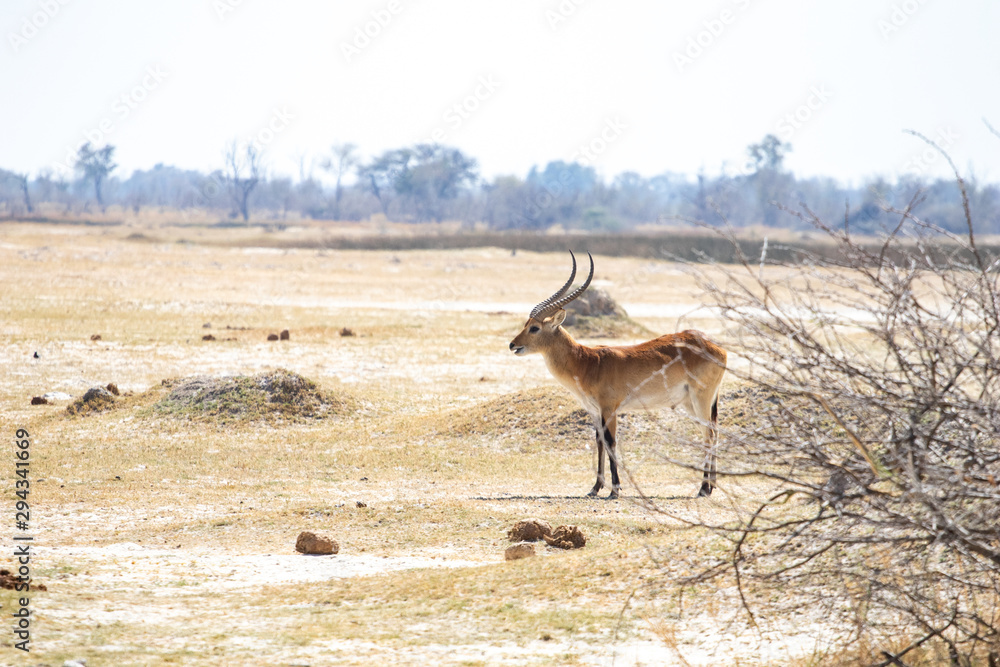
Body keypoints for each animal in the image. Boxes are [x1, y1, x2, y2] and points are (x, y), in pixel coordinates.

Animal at [509, 251, 727, 498]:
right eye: (526, 324)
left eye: (534, 328)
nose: (512, 344)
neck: (587, 362)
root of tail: (715, 346)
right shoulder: (594, 411)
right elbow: (600, 442)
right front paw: (595, 488)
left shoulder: (609, 408)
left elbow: (612, 442)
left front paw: (615, 489)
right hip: (691, 402)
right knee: (714, 432)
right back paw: (711, 485)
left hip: (701, 399)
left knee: (709, 434)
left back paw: (704, 488)